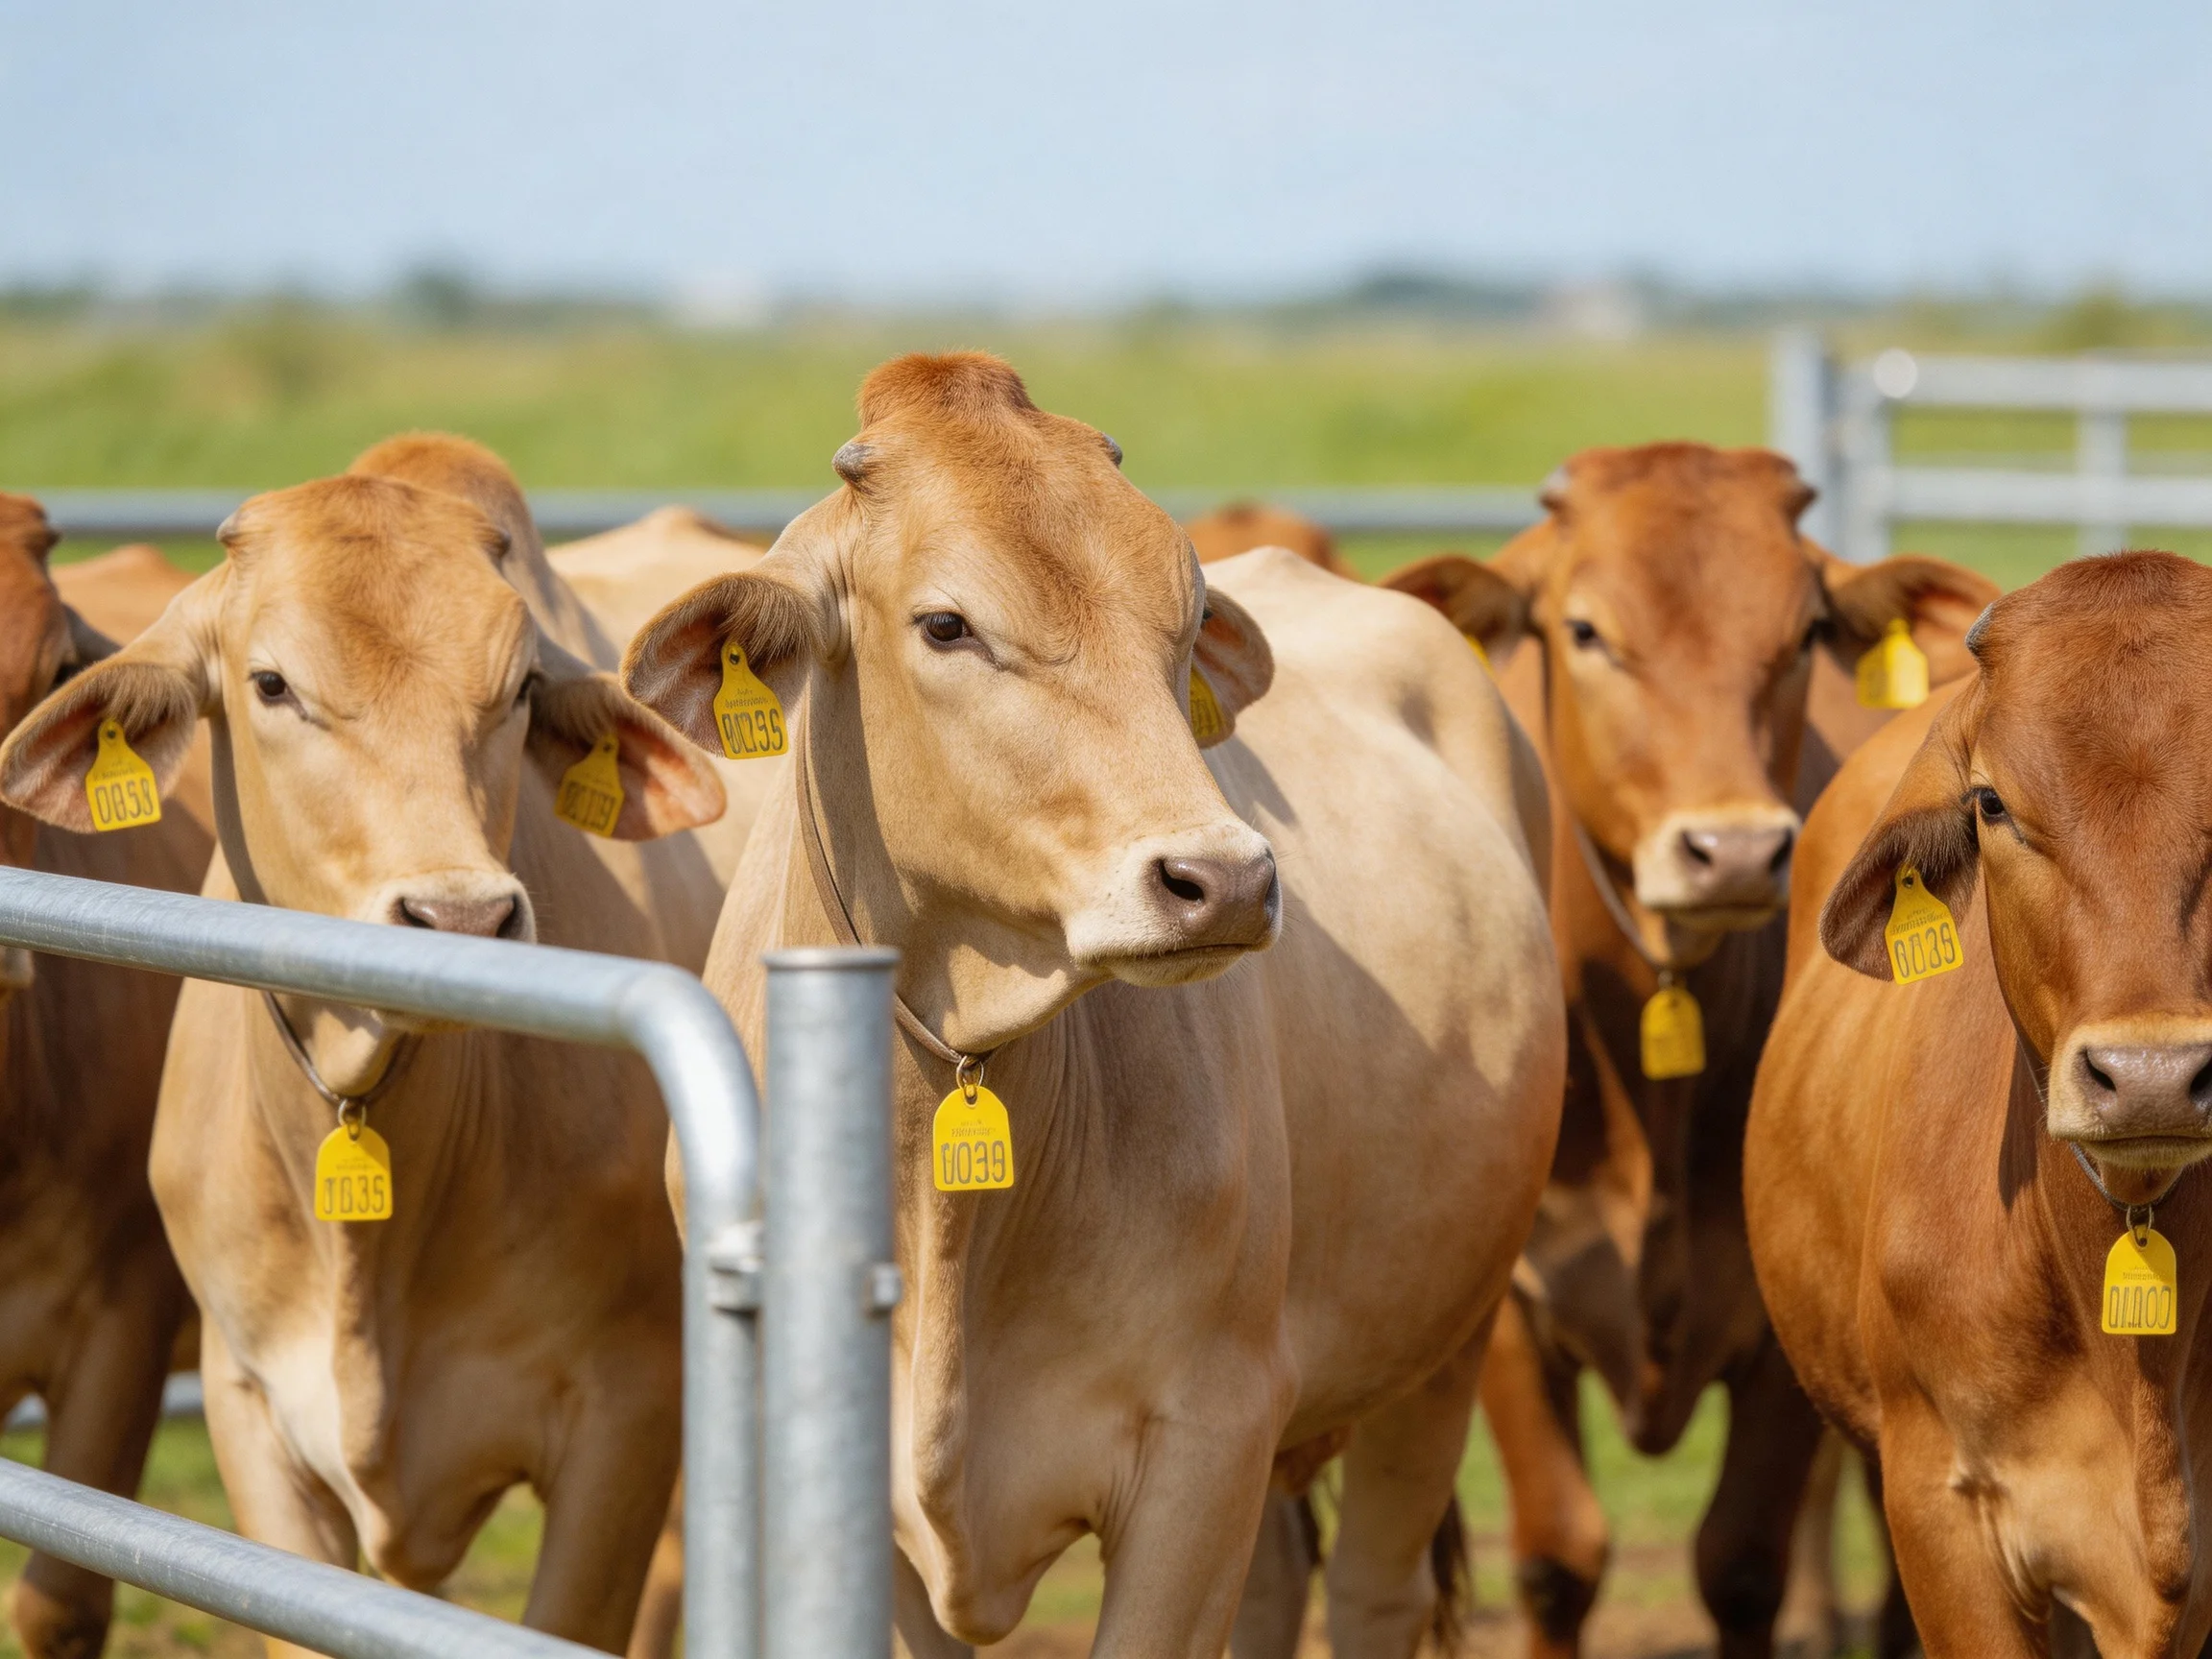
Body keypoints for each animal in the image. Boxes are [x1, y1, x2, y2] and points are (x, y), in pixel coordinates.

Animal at [621, 352, 1566, 1658]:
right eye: (948, 625)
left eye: (1187, 621)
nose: (1224, 879)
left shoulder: (1207, 1442)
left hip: (1444, 1347)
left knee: (1375, 1588)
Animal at [1377, 442, 1996, 1657]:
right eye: (1584, 630)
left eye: (1803, 633)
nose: (1733, 851)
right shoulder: (1508, 1307)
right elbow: (1558, 1560)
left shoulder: (1775, 1324)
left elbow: (1741, 1562)